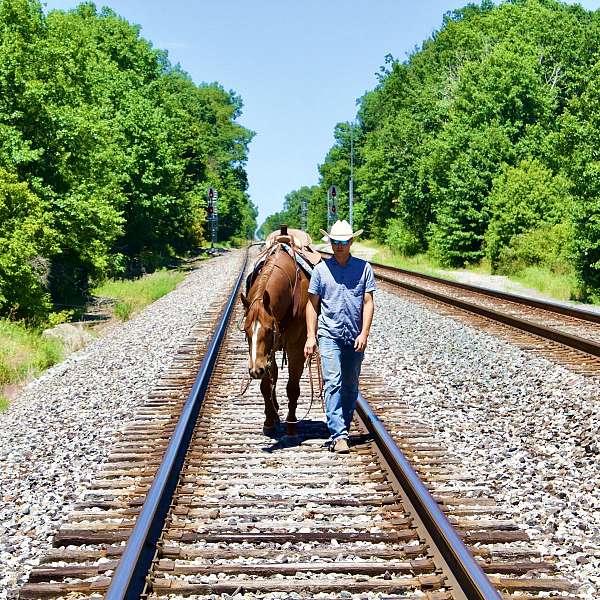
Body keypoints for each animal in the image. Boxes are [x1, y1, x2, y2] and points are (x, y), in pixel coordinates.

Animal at [243, 241, 312, 438]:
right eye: (245, 330)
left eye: (268, 330)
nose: (254, 370)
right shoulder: (266, 354)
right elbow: (266, 386)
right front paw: (269, 422)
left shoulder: (297, 348)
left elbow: (292, 388)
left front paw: (291, 426)